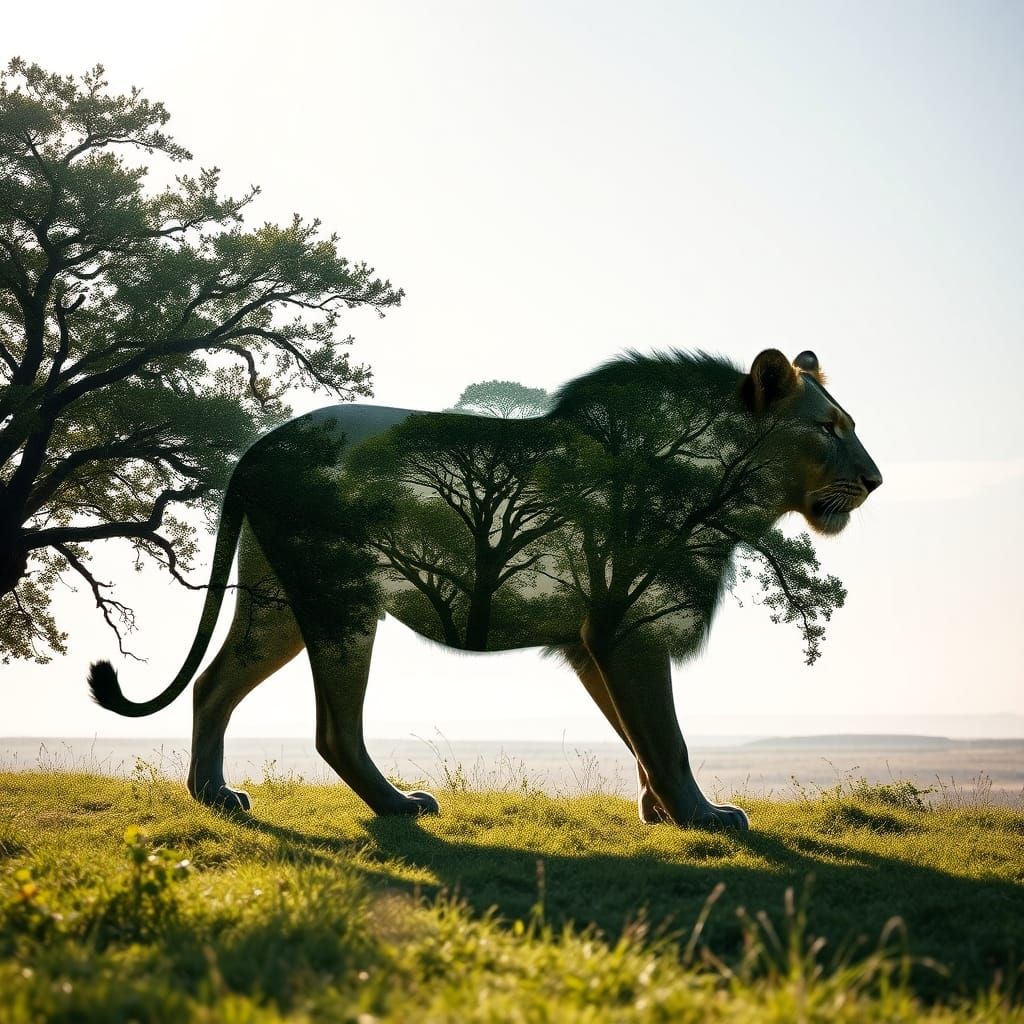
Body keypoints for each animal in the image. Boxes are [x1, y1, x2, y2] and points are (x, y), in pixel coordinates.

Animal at [88, 348, 881, 830]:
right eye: (827, 429)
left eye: (849, 424)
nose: (875, 480)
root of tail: (257, 446)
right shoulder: (626, 626)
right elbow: (666, 735)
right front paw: (702, 817)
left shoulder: (590, 639)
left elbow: (636, 734)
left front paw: (658, 812)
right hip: (339, 596)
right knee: (332, 728)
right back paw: (397, 805)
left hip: (278, 600)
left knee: (213, 683)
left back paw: (213, 795)